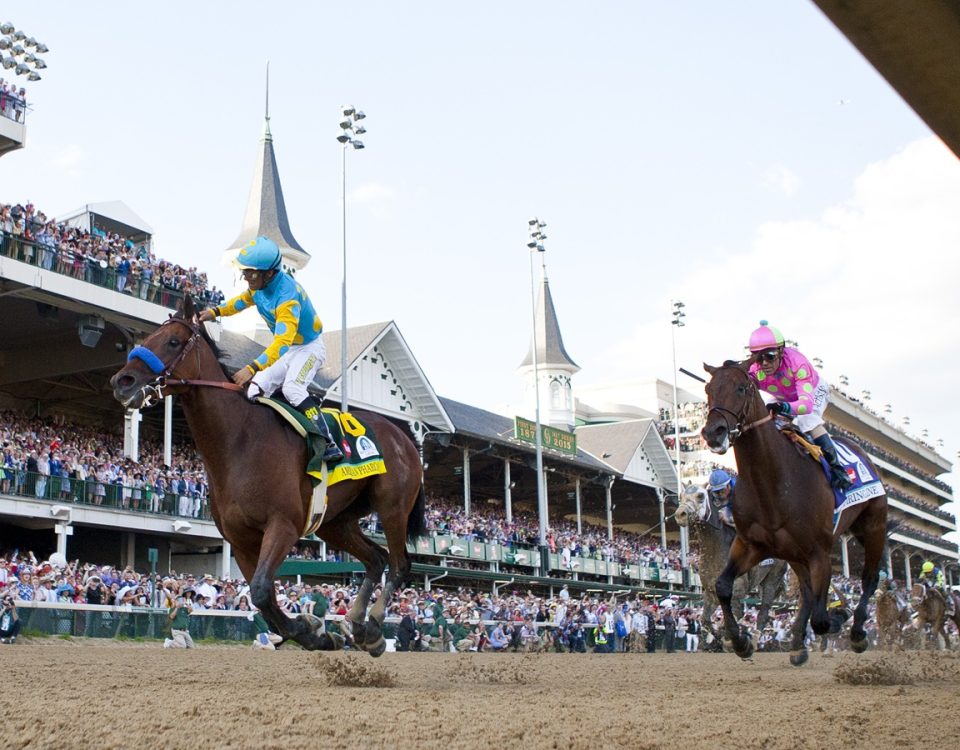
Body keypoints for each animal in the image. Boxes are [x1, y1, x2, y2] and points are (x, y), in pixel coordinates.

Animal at [111, 296, 424, 656]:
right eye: (148, 338)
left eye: (173, 341)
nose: (122, 381)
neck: (239, 440)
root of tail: (405, 437)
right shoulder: (241, 540)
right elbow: (263, 597)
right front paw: (315, 632)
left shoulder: (283, 525)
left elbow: (261, 590)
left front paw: (310, 629)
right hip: (335, 521)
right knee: (376, 558)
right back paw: (358, 625)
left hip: (392, 507)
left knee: (399, 563)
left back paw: (372, 625)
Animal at [700, 364, 888, 668]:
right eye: (709, 389)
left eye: (740, 388)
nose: (713, 432)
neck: (773, 482)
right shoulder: (751, 545)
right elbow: (723, 586)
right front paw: (740, 641)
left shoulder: (819, 551)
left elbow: (822, 619)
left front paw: (840, 617)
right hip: (794, 555)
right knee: (807, 594)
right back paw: (798, 645)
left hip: (873, 527)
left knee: (868, 580)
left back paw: (857, 633)